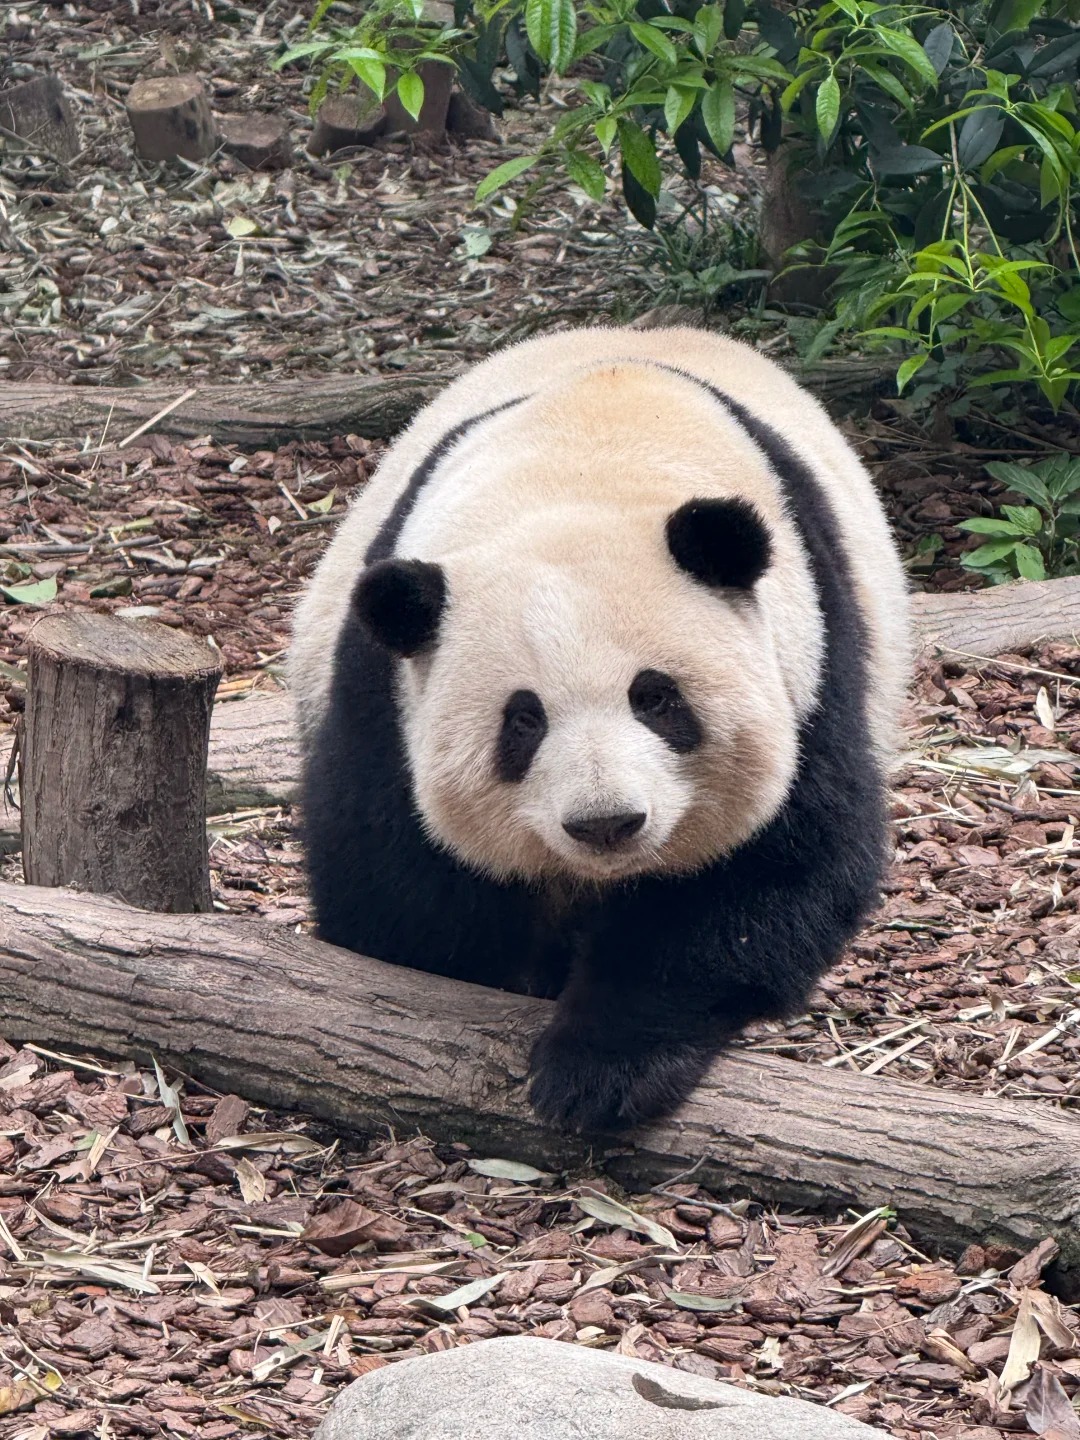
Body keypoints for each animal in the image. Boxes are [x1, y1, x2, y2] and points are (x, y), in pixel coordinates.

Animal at [289, 325, 910, 1134]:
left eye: (657, 700)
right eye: (523, 721)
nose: (606, 824)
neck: (590, 451)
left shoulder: (810, 659)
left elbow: (769, 869)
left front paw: (602, 1070)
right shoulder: (384, 686)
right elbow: (394, 872)